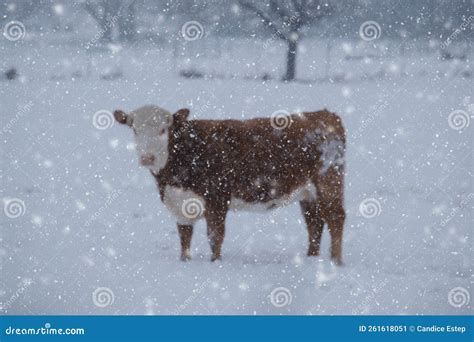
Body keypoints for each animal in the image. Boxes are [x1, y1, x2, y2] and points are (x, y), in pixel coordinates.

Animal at [113, 106, 346, 264]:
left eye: (163, 129)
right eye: (134, 129)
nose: (147, 158)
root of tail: (324, 114)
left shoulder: (217, 198)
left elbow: (215, 236)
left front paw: (215, 262)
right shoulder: (179, 203)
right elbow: (184, 236)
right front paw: (184, 261)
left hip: (329, 182)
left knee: (335, 219)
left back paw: (335, 262)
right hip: (308, 193)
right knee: (314, 223)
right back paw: (311, 259)